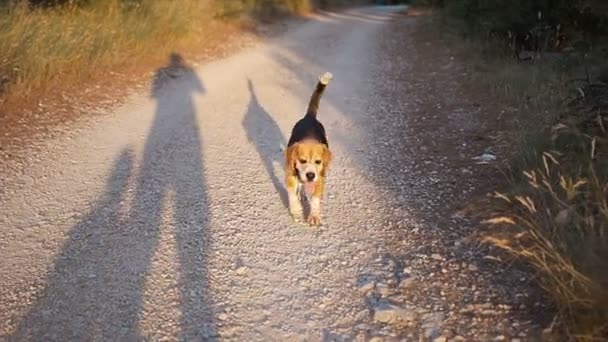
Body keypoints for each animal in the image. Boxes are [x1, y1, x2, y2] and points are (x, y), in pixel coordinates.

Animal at [284, 73, 332, 224]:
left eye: (318, 162)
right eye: (302, 160)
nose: (310, 175)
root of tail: (309, 116)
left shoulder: (320, 178)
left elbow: (316, 198)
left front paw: (314, 215)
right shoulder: (290, 174)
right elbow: (292, 194)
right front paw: (296, 210)